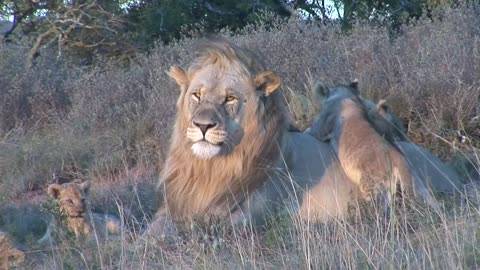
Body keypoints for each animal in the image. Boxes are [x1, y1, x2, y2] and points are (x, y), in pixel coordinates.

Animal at [150, 37, 360, 231]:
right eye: (197, 95)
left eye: (230, 98)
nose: (203, 125)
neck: (210, 170)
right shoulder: (173, 207)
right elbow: (151, 232)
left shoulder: (246, 218)